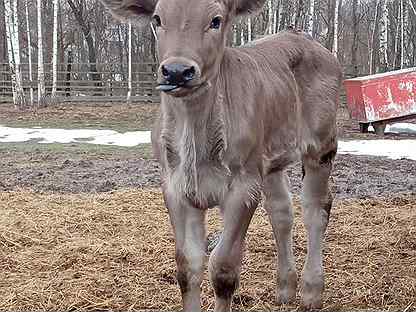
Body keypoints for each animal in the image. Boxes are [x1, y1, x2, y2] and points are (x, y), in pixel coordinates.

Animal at [100, 1, 342, 310]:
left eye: (216, 20)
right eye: (157, 19)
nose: (177, 71)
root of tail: (304, 38)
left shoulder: (244, 186)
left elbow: (224, 267)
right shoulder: (174, 186)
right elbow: (188, 265)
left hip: (322, 145)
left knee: (316, 209)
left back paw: (311, 290)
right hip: (270, 159)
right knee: (281, 212)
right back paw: (285, 288)